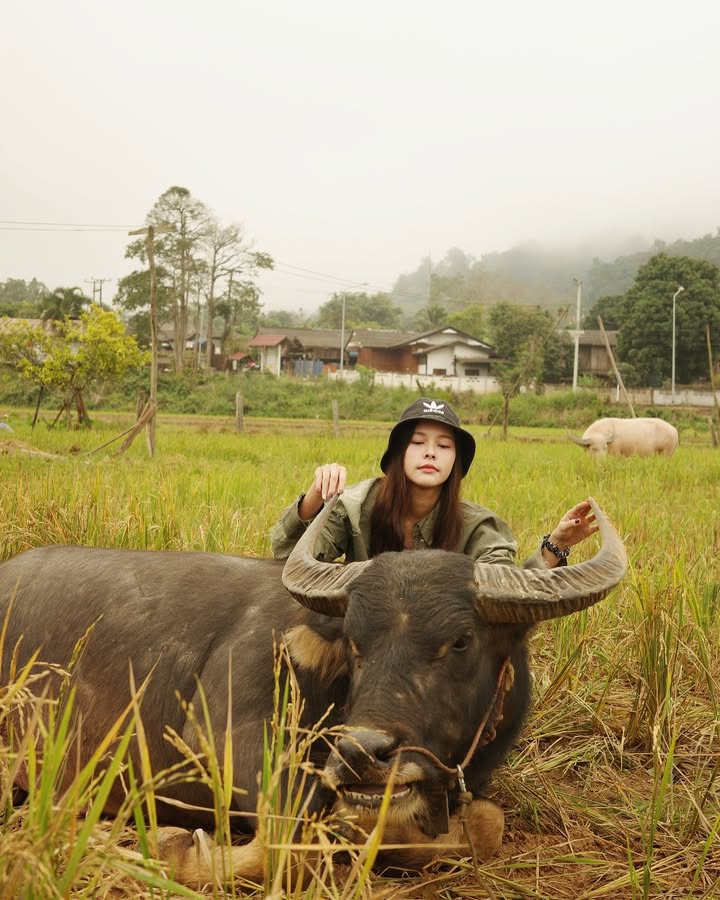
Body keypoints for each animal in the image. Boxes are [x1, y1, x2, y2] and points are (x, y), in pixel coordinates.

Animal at [0, 496, 624, 884]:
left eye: (461, 641)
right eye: (355, 643)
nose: (360, 754)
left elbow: (486, 826)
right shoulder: (233, 744)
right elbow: (291, 848)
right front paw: (162, 846)